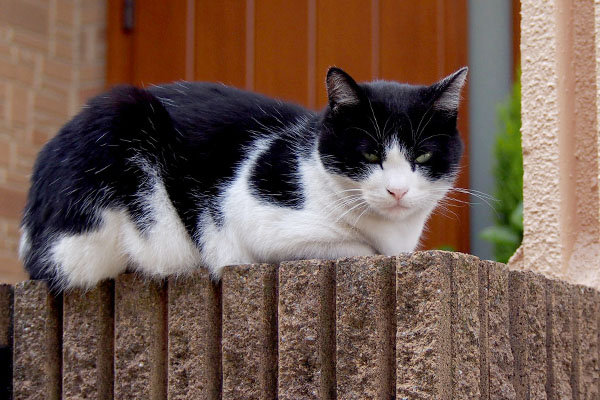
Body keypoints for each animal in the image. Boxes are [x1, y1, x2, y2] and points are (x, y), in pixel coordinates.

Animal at [18, 67, 466, 290]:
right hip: (119, 125)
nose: (397, 190)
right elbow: (361, 249)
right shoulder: (258, 217)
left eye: (422, 155)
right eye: (370, 153)